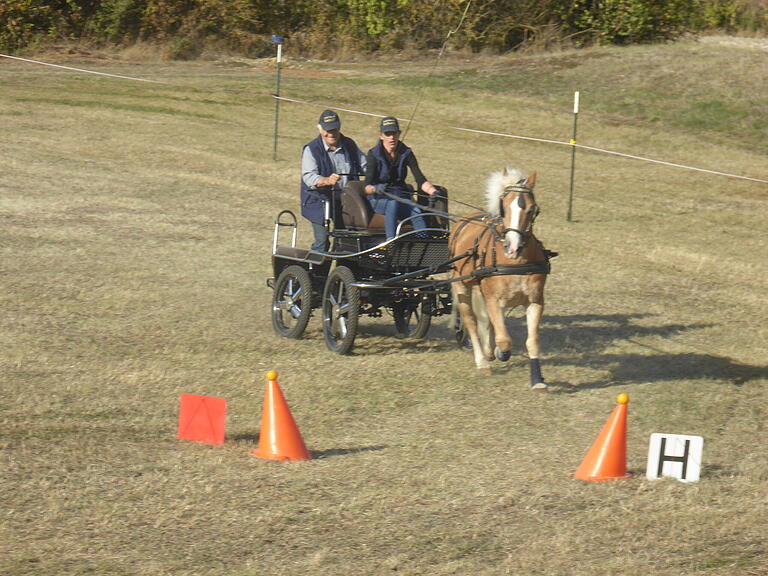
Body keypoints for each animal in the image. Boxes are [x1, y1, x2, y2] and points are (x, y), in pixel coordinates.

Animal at [450, 168, 552, 392]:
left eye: (531, 209)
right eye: (503, 207)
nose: (512, 248)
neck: (517, 262)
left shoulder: (535, 301)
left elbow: (532, 341)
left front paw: (538, 380)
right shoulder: (494, 300)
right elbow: (504, 339)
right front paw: (500, 353)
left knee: (486, 321)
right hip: (461, 286)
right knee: (471, 321)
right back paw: (482, 360)